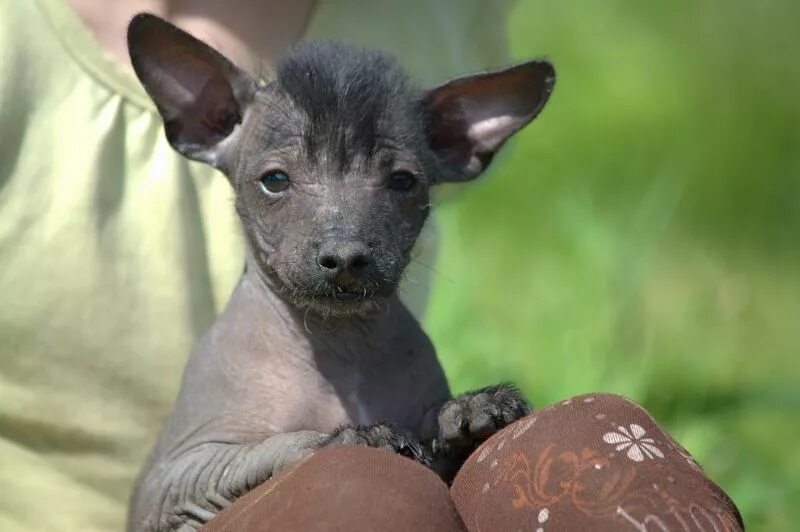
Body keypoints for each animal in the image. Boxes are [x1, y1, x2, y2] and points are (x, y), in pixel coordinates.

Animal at [126, 13, 556, 532]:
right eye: (275, 181)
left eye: (402, 181)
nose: (347, 256)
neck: (341, 343)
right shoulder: (177, 482)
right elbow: (273, 447)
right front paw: (356, 436)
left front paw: (469, 410)